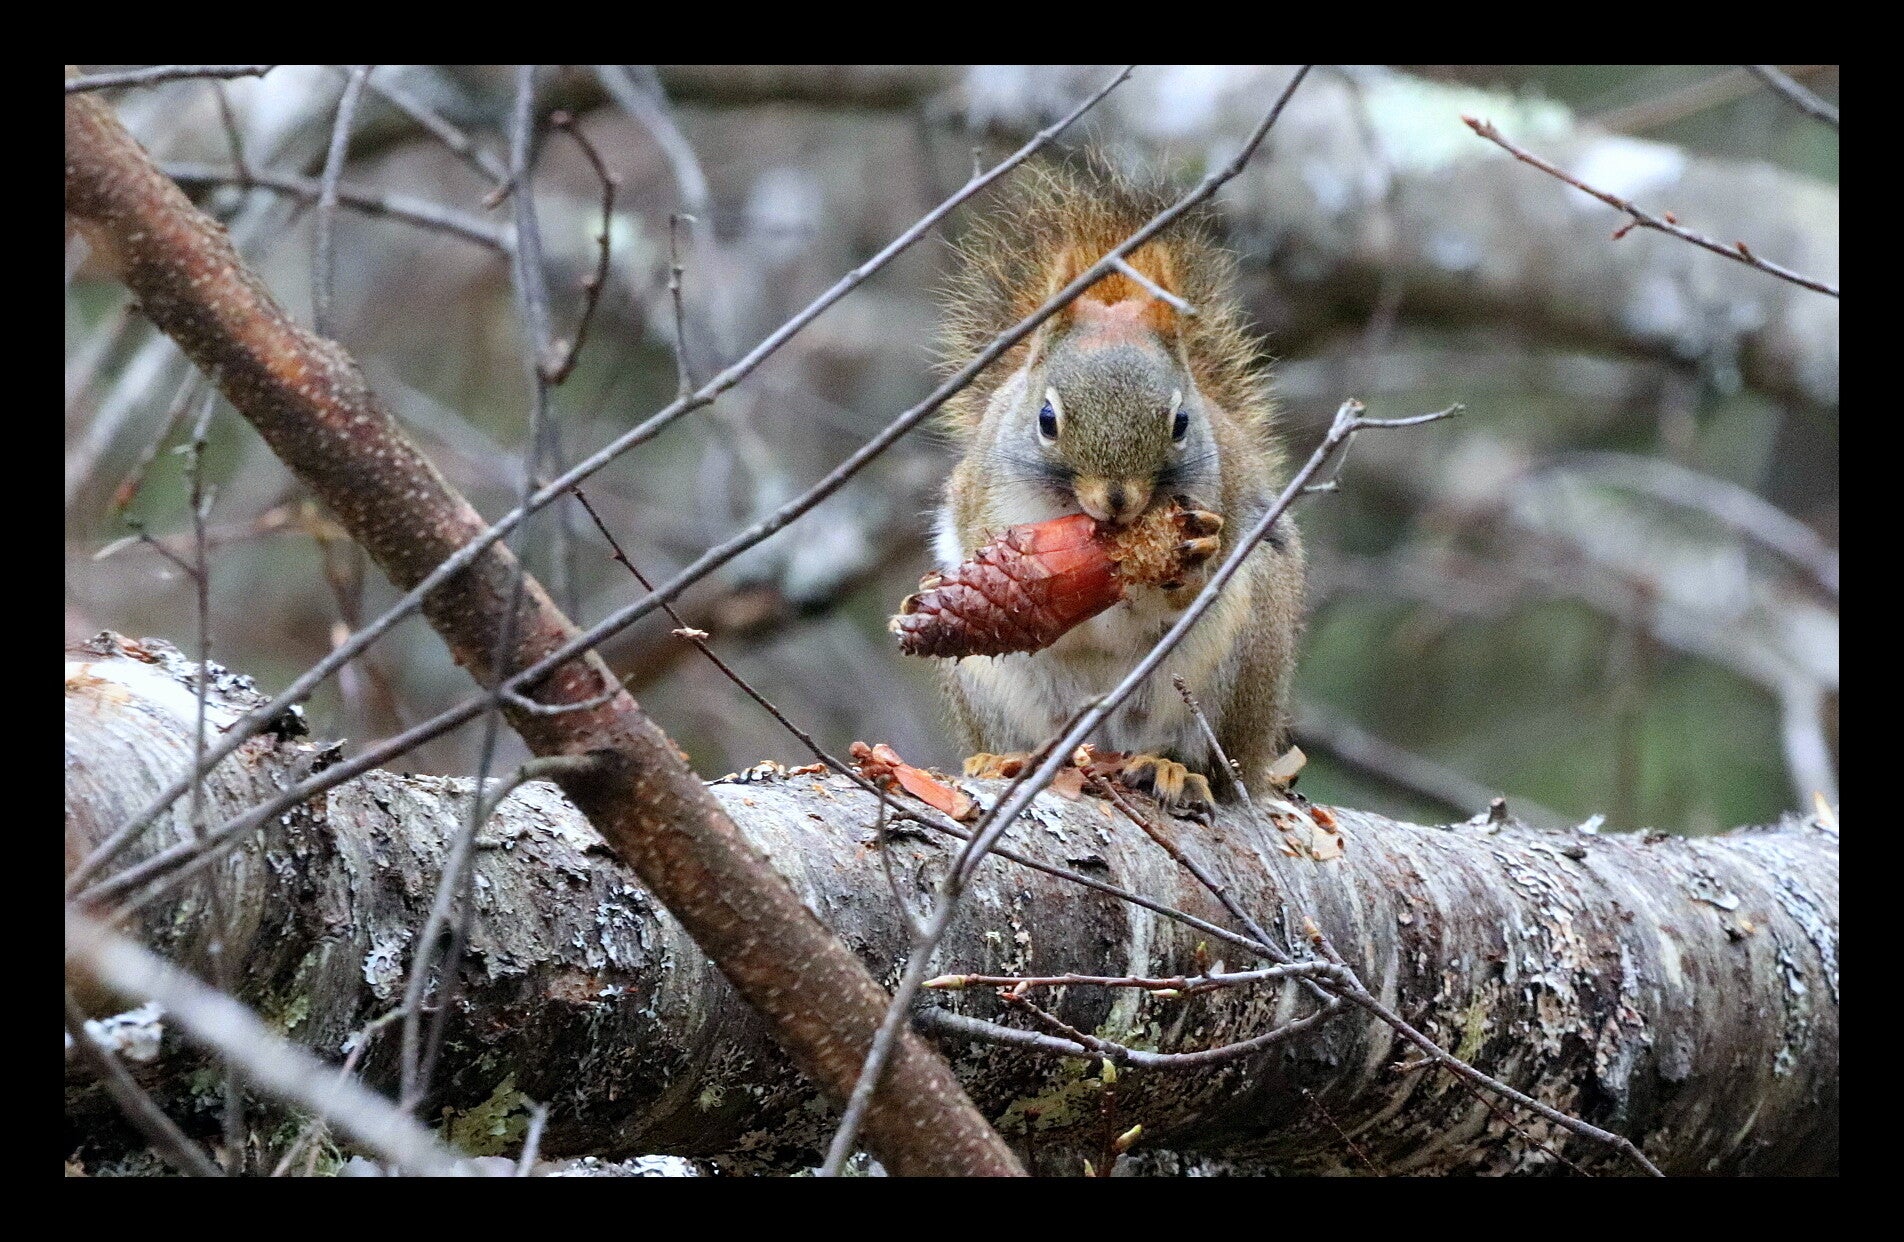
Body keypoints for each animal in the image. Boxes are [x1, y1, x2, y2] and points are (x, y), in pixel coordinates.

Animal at [932, 158, 1304, 813]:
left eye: (1180, 423)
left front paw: (1188, 558)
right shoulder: (982, 493)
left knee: (1206, 758)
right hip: (987, 684)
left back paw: (1169, 768)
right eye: (1046, 419)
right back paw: (999, 758)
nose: (1117, 500)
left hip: (1239, 658)